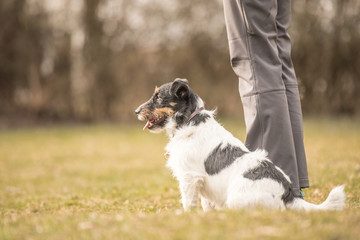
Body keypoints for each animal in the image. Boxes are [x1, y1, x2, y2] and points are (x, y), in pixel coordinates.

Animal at [136, 78, 346, 211]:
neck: (188, 121)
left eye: (158, 97)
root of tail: (288, 195)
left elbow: (189, 205)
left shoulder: (189, 178)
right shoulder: (200, 184)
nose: (136, 111)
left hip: (235, 199)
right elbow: (206, 205)